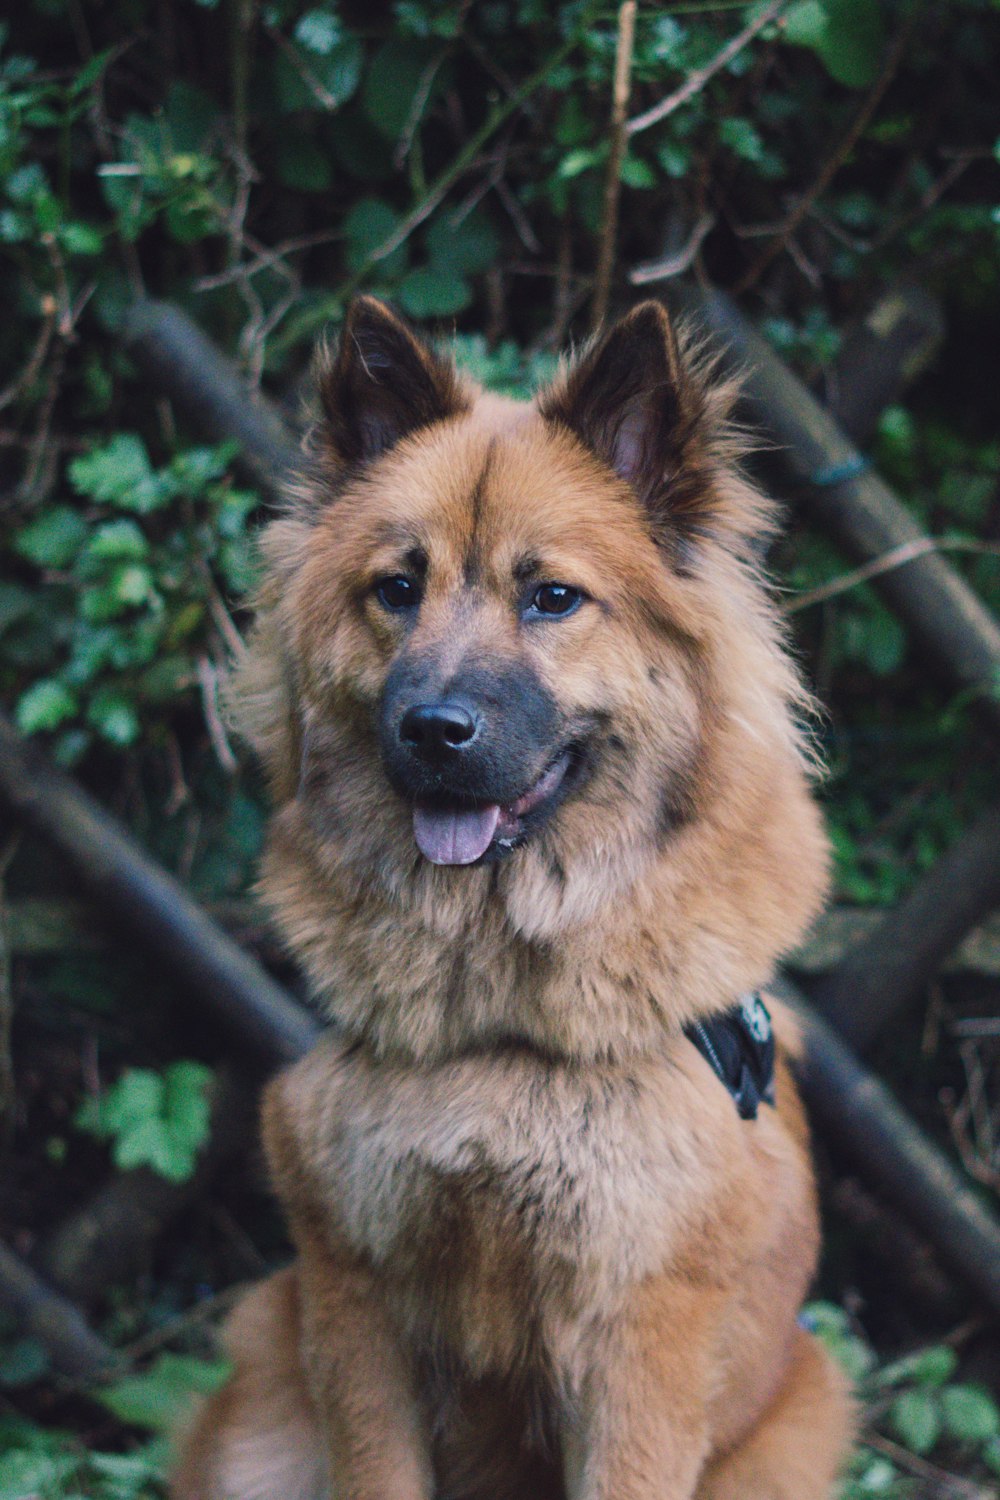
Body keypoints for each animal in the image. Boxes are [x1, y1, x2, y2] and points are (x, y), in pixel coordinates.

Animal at [170, 295, 851, 1500]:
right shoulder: (355, 1305)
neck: (492, 1018)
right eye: (397, 589)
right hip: (262, 1403)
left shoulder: (638, 1342)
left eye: (553, 599)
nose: (432, 730)